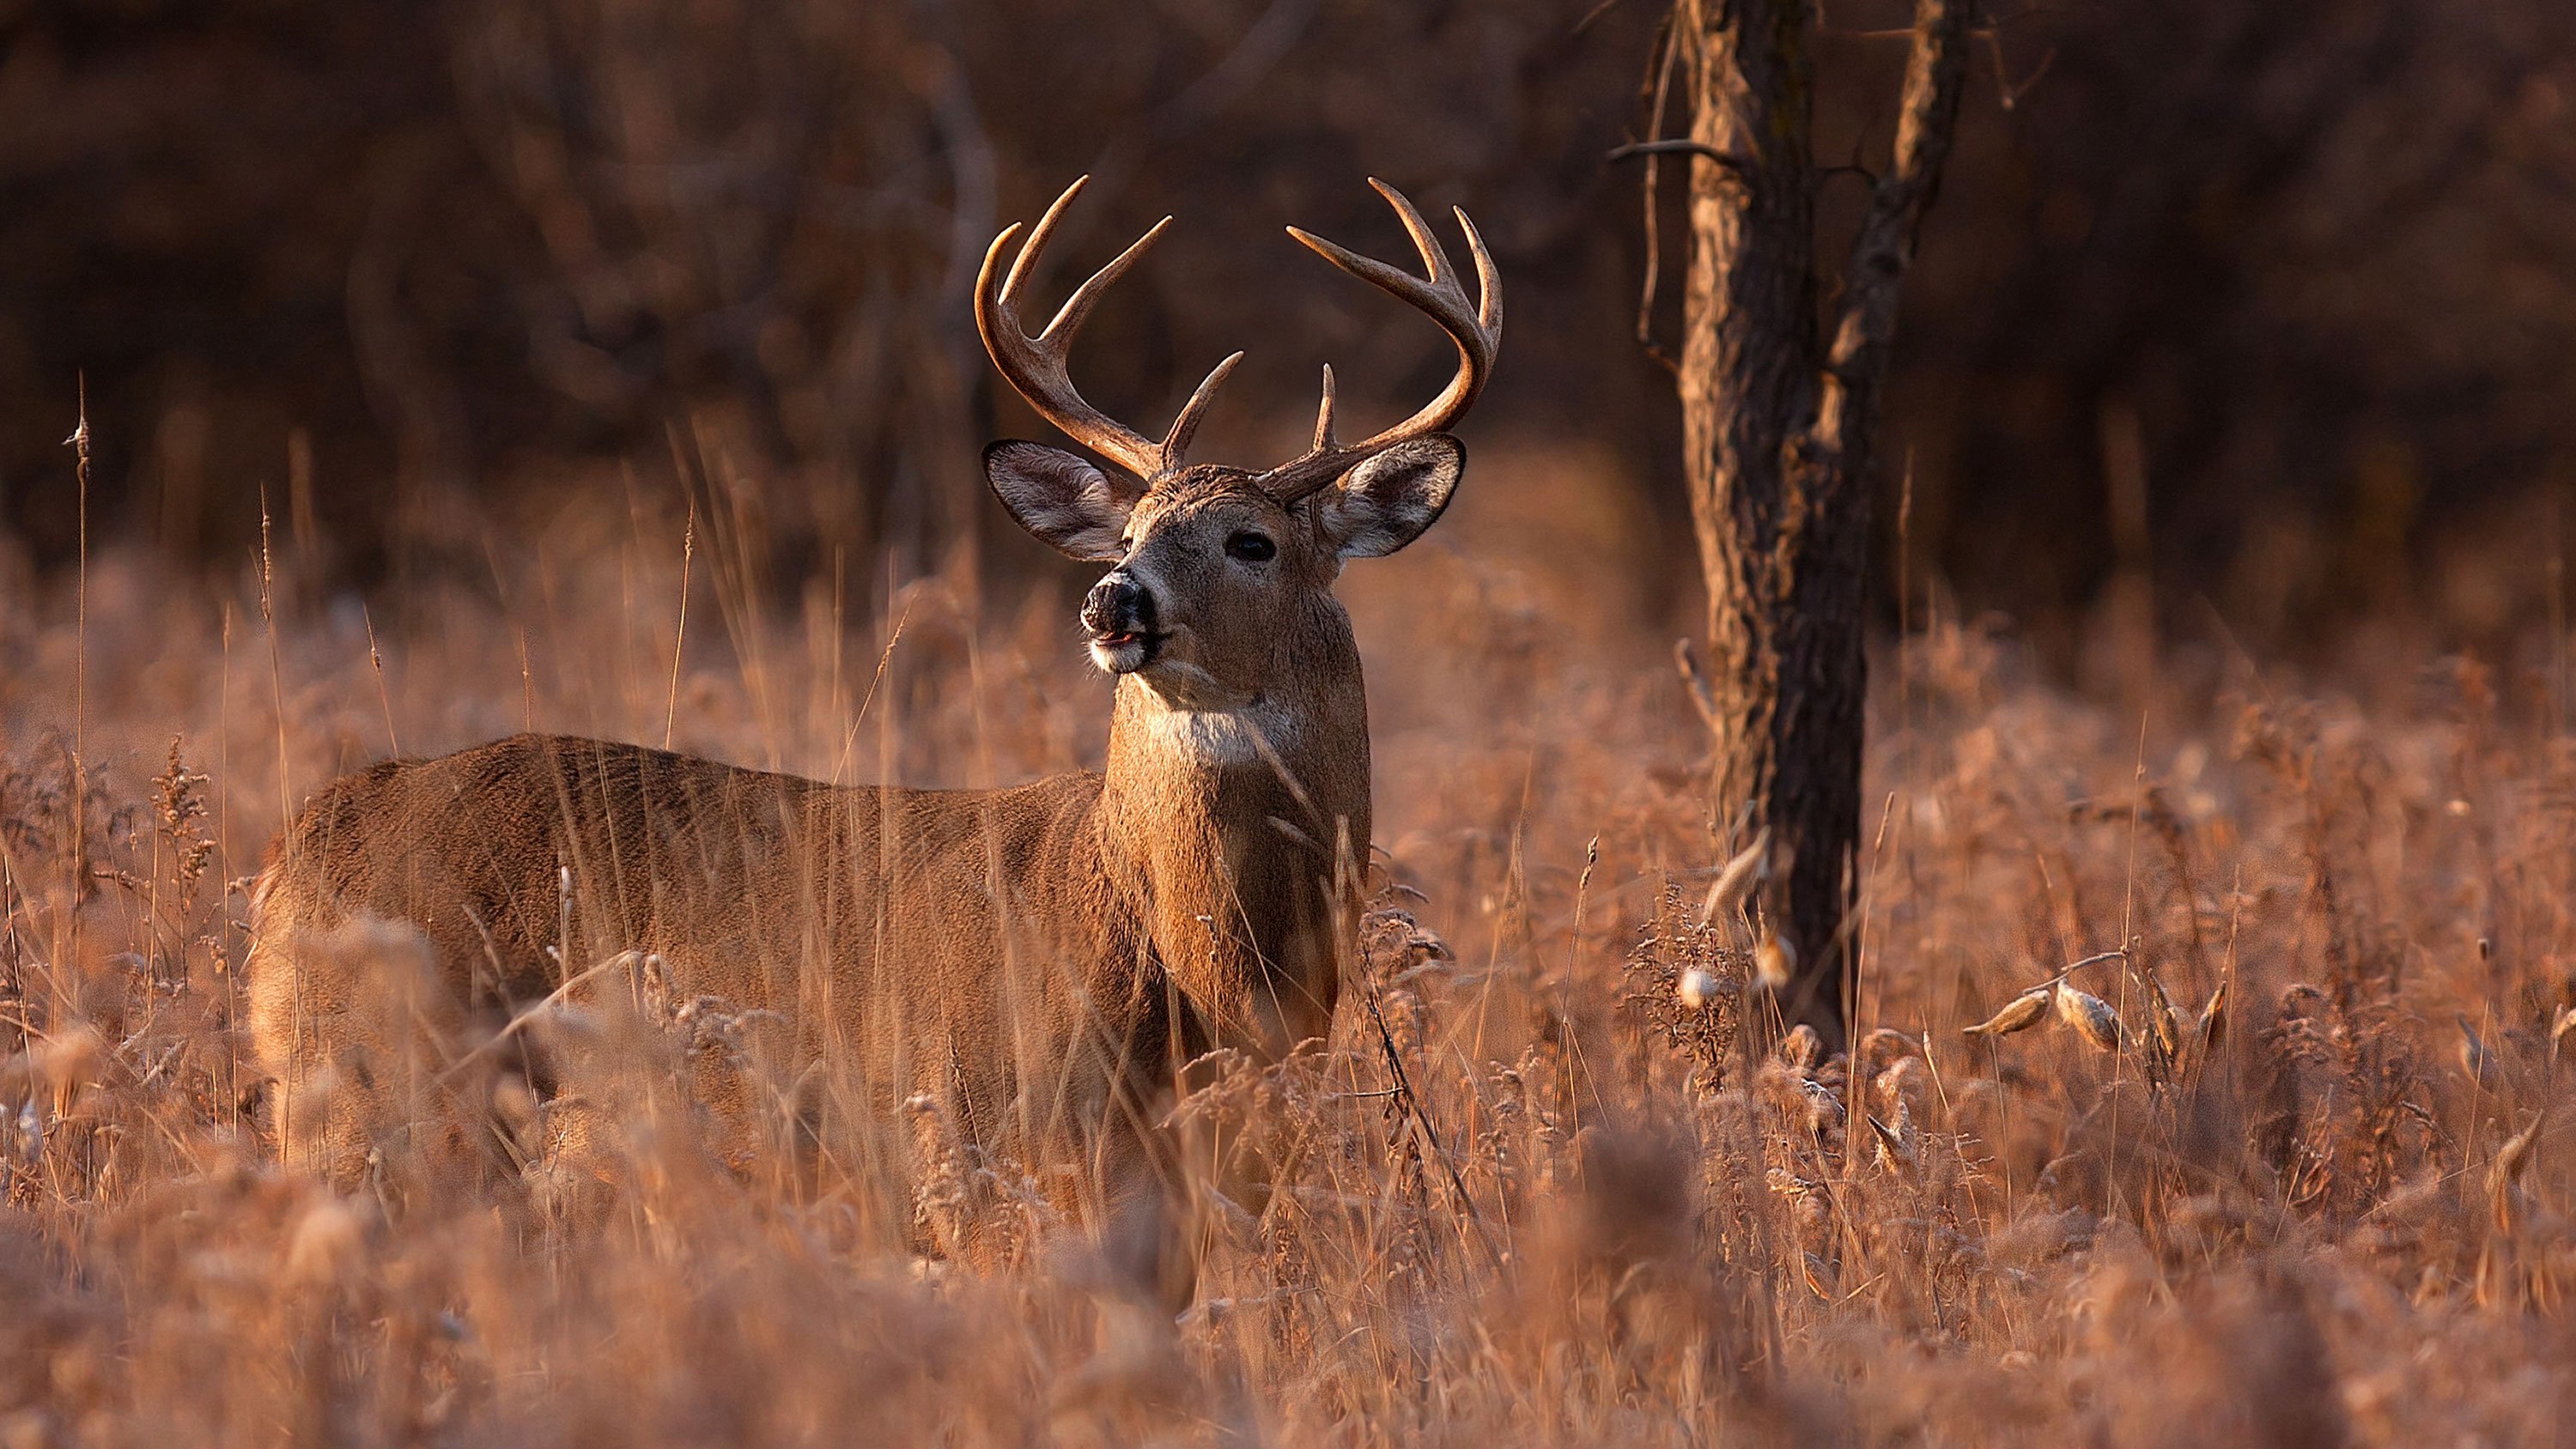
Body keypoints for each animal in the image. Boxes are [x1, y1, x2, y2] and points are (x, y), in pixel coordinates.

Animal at [243, 176, 1500, 1295]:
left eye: (1253, 541)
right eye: (1129, 531)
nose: (1114, 601)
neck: (1195, 977)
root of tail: (300, 844)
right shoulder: (980, 1157)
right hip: (380, 1094)